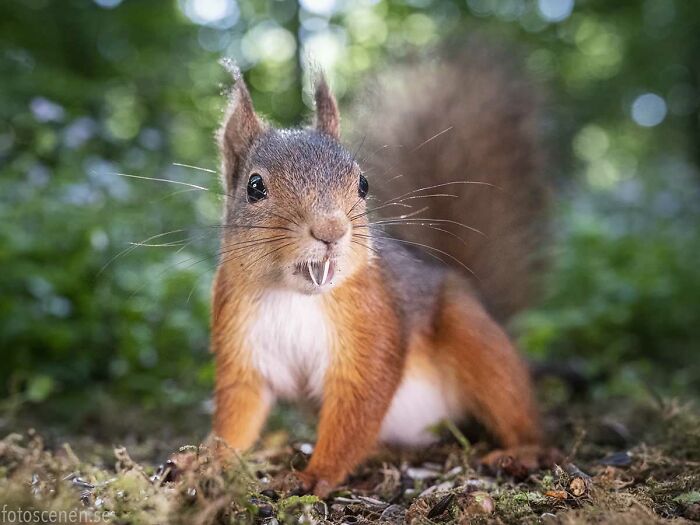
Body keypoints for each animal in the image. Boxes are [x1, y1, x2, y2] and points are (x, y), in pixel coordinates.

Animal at [211, 45, 548, 497]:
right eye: (254, 187)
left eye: (364, 184)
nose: (331, 230)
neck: (294, 297)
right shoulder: (241, 342)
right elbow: (238, 411)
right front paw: (203, 461)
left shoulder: (373, 321)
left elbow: (359, 401)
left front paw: (315, 474)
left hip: (475, 336)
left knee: (517, 408)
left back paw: (524, 451)